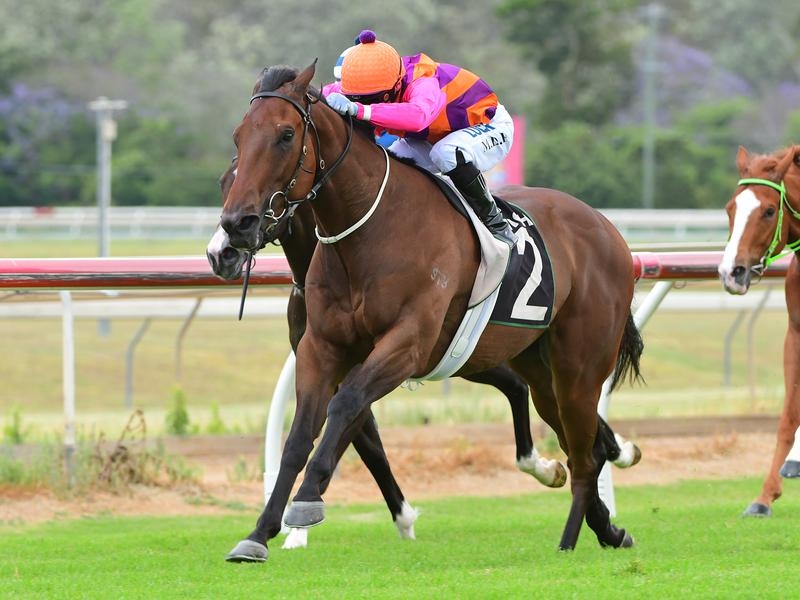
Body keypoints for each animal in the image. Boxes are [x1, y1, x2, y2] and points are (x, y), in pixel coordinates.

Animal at [211, 61, 644, 562]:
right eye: (238, 137)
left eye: (285, 134)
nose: (234, 230)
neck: (369, 232)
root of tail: (607, 229)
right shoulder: (322, 347)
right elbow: (303, 434)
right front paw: (260, 533)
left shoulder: (407, 345)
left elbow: (346, 406)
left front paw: (307, 505)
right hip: (539, 368)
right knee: (577, 442)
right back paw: (608, 528)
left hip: (581, 366)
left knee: (586, 451)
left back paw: (570, 538)